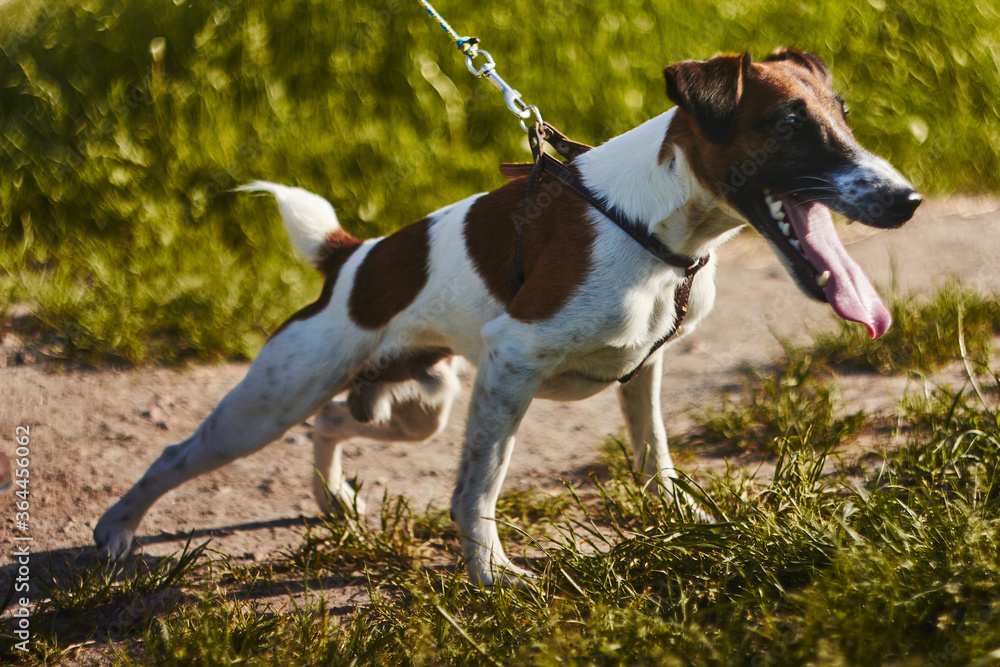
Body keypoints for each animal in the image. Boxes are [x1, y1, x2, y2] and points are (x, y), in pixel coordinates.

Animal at [95, 49, 920, 588]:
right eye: (788, 124)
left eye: (843, 118)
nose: (907, 200)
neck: (654, 223)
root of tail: (350, 260)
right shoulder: (512, 363)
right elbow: (478, 488)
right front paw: (491, 572)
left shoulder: (642, 366)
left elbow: (654, 452)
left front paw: (683, 513)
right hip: (271, 401)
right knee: (180, 452)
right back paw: (116, 531)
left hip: (417, 403)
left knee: (332, 421)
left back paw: (334, 498)